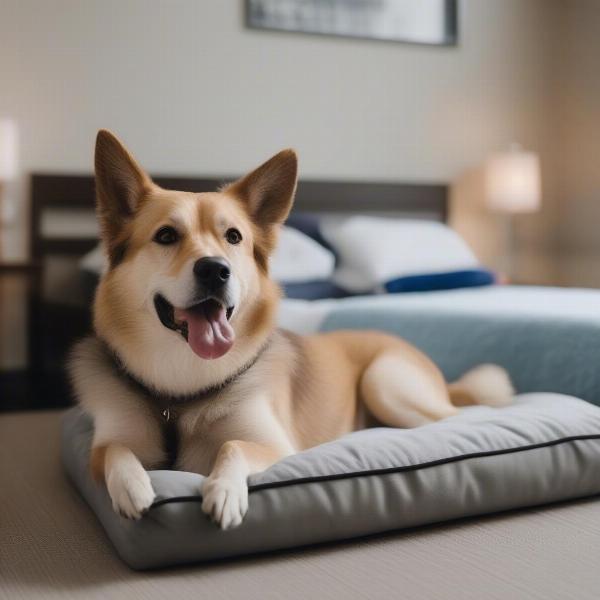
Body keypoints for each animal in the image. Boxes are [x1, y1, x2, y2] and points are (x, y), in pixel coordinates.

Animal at [69, 129, 510, 528]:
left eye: (233, 237)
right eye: (165, 235)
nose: (215, 270)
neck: (182, 387)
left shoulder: (277, 446)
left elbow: (232, 446)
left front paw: (224, 491)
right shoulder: (107, 440)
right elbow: (113, 451)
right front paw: (132, 485)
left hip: (387, 382)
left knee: (463, 416)